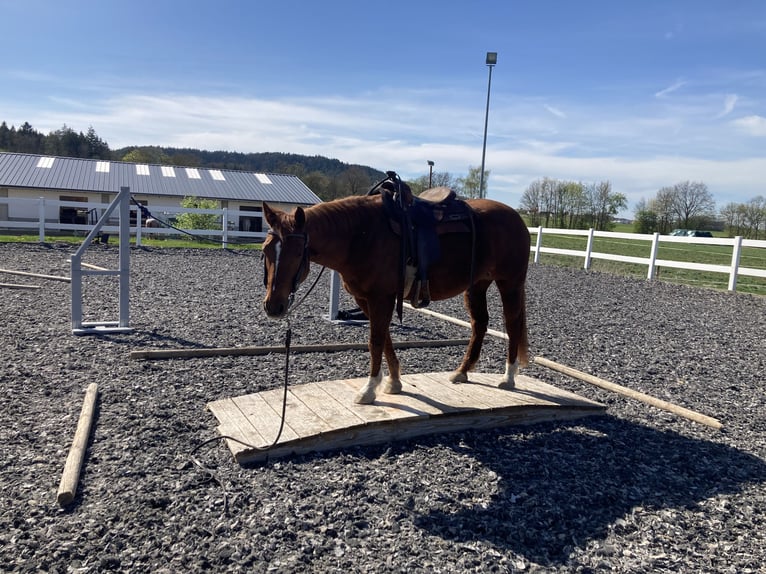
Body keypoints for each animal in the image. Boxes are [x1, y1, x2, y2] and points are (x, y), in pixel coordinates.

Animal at [260, 180, 532, 404]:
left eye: (298, 252)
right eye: (265, 250)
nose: (273, 306)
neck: (361, 235)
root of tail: (516, 218)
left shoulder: (380, 297)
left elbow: (375, 341)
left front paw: (369, 390)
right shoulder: (366, 298)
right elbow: (385, 338)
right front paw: (393, 382)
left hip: (510, 283)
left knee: (512, 324)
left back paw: (508, 377)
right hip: (477, 285)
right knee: (480, 324)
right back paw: (462, 372)